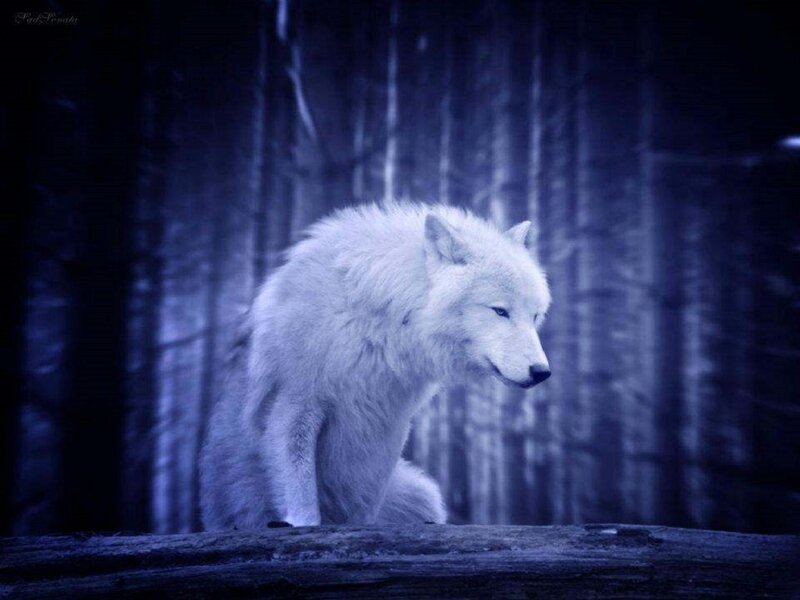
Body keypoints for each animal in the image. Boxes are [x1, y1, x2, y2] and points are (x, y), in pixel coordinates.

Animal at [200, 202, 551, 529]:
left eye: (534, 316)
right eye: (500, 311)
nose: (542, 372)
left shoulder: (388, 422)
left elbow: (365, 498)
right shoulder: (294, 404)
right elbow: (300, 491)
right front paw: (303, 523)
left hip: (423, 494)